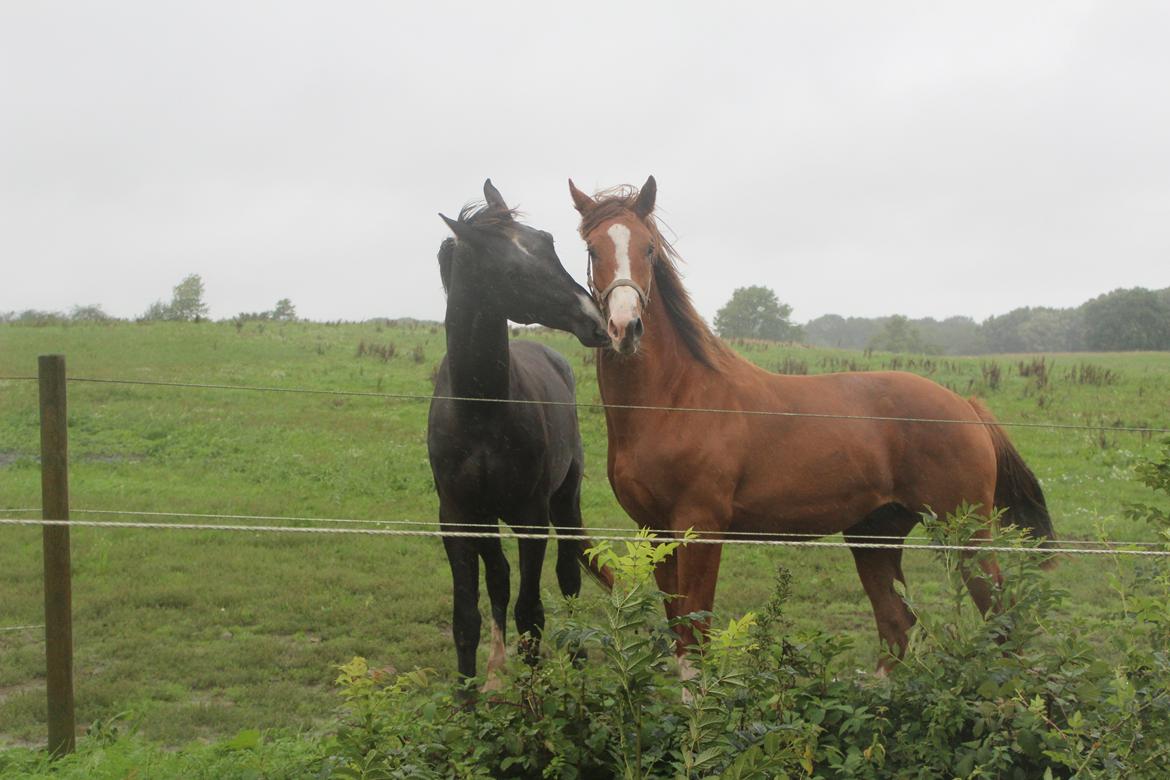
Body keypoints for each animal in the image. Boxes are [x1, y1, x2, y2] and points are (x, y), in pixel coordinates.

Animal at [430, 180, 613, 687]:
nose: (597, 321)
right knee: (499, 576)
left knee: (568, 577)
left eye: (548, 242)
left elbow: (530, 615)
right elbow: (466, 619)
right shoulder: (458, 518)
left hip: (564, 502)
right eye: (510, 272)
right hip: (489, 520)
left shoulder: (532, 517)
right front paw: (471, 695)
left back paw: (576, 662)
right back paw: (496, 672)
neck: (482, 412)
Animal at [570, 175, 1057, 673]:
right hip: (875, 535)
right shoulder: (655, 533)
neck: (676, 401)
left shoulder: (700, 529)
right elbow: (679, 641)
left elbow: (696, 640)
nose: (625, 327)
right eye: (591, 249)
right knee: (897, 624)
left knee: (1000, 619)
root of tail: (967, 406)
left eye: (648, 248)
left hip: (966, 534)